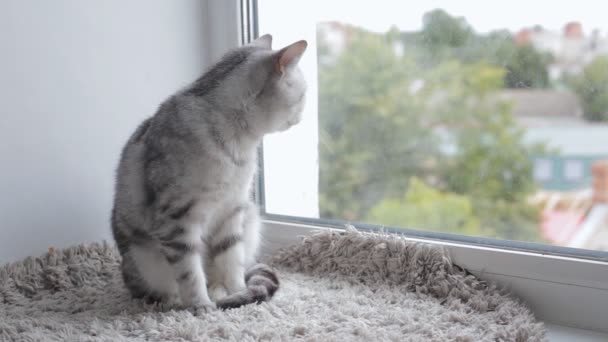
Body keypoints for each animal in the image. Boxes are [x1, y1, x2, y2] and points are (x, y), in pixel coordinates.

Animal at [110, 34, 306, 310]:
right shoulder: (178, 219)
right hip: (144, 260)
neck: (240, 146)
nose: (302, 117)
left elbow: (231, 260)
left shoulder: (233, 208)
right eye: (304, 95)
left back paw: (220, 293)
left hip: (250, 219)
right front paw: (201, 306)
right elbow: (189, 271)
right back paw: (176, 301)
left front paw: (238, 292)